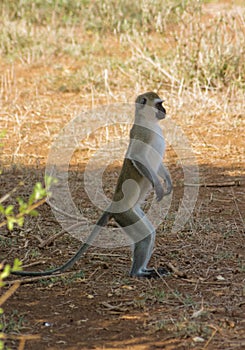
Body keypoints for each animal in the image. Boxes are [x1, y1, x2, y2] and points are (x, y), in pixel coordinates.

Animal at [11, 92, 172, 278]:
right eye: (159, 104)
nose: (165, 111)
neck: (149, 122)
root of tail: (114, 204)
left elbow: (157, 166)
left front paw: (168, 183)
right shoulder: (143, 134)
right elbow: (137, 157)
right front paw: (159, 187)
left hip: (131, 212)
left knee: (149, 234)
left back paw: (145, 269)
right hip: (124, 214)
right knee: (145, 237)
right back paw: (137, 273)